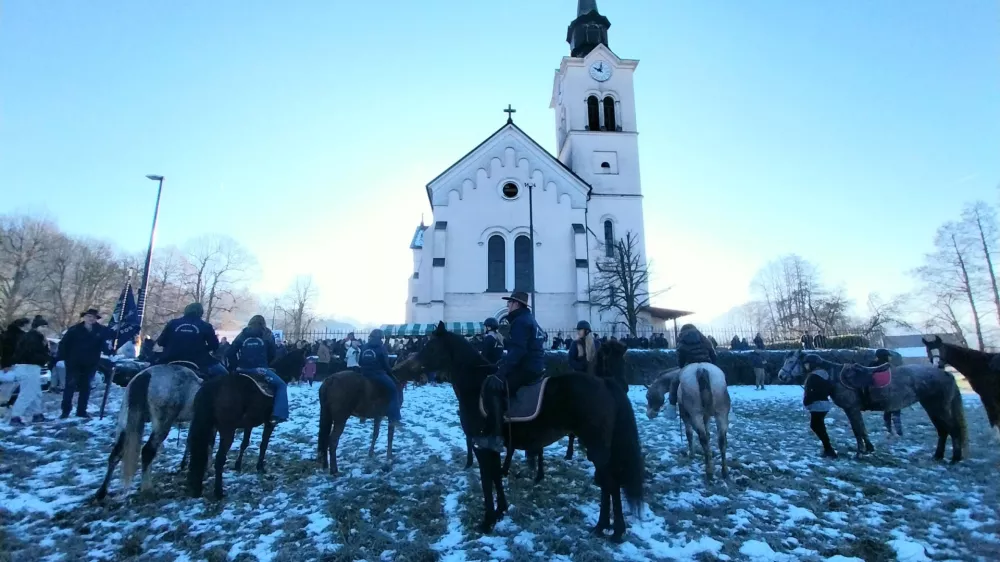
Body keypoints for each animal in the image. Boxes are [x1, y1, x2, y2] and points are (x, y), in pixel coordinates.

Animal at [95, 364, 203, 498]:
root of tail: (145, 375)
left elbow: (190, 440)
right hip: (162, 423)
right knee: (147, 451)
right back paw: (147, 488)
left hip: (125, 422)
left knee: (116, 454)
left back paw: (101, 492)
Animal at [412, 322, 640, 540]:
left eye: (431, 347)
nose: (412, 365)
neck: (476, 386)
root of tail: (605, 383)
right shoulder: (492, 448)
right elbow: (496, 477)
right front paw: (501, 511)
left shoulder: (481, 445)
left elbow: (487, 481)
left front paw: (487, 521)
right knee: (608, 482)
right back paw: (604, 527)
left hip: (596, 446)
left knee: (610, 482)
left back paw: (612, 529)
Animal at [776, 350, 964, 460]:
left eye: (791, 361)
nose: (781, 376)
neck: (835, 377)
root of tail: (946, 374)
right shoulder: (853, 410)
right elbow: (862, 429)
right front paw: (868, 449)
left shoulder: (852, 409)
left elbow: (857, 430)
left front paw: (860, 452)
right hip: (931, 407)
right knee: (943, 431)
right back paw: (938, 455)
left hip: (938, 407)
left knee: (952, 429)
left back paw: (955, 458)